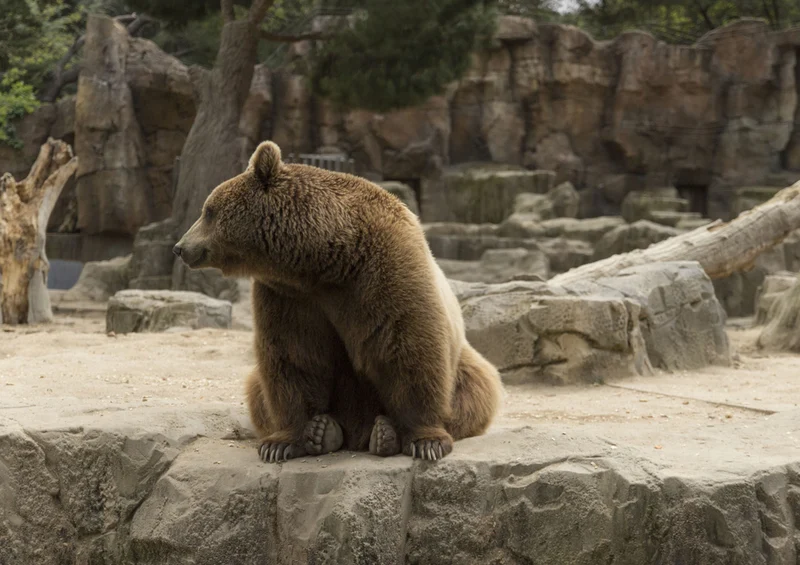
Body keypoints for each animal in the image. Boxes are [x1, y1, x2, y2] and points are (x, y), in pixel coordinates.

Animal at [173, 140, 503, 462]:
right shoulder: (289, 296)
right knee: (257, 389)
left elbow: (408, 344)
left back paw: (384, 433)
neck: (325, 259)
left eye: (208, 211)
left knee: (475, 388)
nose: (180, 246)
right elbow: (293, 355)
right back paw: (328, 432)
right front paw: (284, 442)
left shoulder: (385, 269)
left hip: (464, 363)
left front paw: (427, 441)